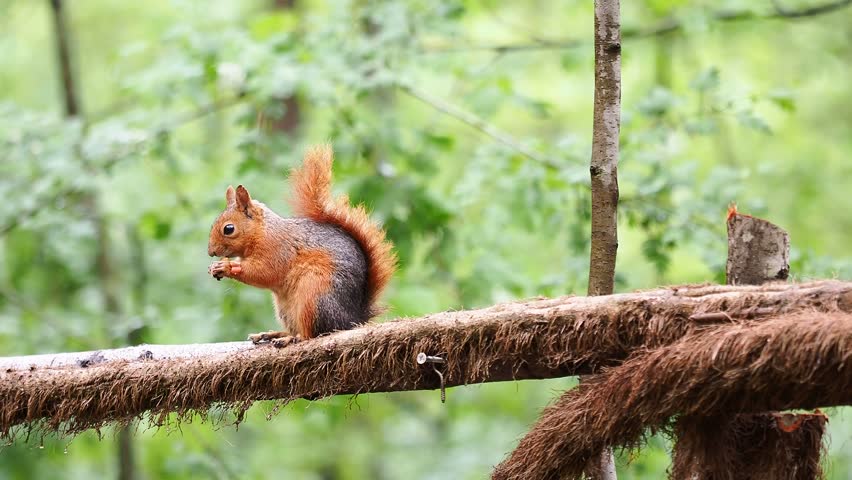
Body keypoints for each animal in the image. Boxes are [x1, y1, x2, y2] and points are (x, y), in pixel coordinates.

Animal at [206, 144, 397, 347]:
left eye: (229, 229)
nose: (211, 252)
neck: (263, 232)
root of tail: (350, 320)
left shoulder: (277, 250)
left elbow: (264, 272)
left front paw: (227, 266)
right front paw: (215, 267)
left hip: (313, 296)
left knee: (313, 333)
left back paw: (291, 338)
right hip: (286, 309)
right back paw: (274, 334)